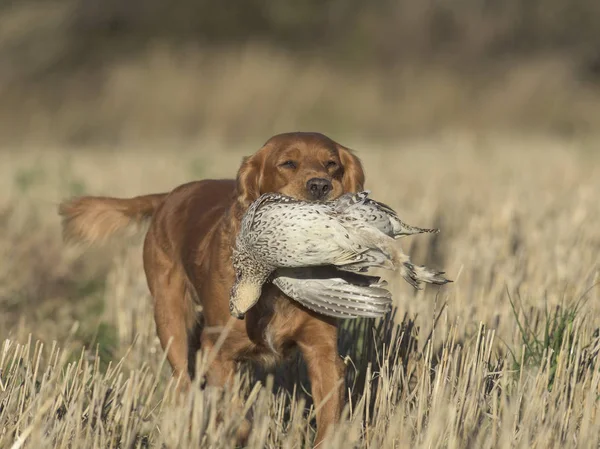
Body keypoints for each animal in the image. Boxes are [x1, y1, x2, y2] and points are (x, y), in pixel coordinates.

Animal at [58, 130, 366, 444]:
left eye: (332, 164)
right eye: (288, 163)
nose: (320, 185)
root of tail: (170, 196)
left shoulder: (323, 351)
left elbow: (329, 421)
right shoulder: (217, 347)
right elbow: (236, 416)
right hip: (170, 319)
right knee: (183, 384)